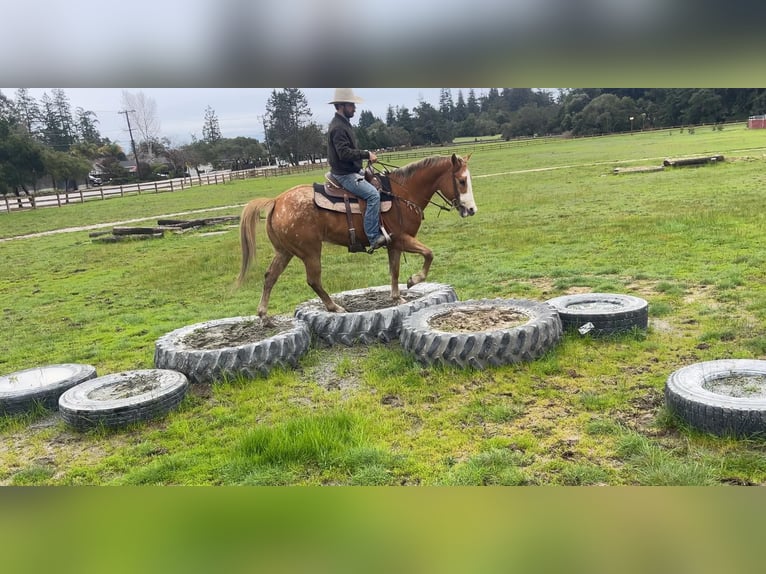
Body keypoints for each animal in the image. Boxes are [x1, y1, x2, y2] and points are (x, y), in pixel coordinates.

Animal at [238, 153, 480, 320]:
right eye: (461, 181)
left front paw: (397, 297)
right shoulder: (401, 238)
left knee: (270, 277)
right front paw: (414, 280)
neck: (402, 193)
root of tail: (276, 201)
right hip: (310, 252)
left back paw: (264, 316)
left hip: (285, 252)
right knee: (313, 280)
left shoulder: (394, 245)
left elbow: (394, 270)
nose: (471, 210)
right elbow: (429, 254)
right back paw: (334, 307)